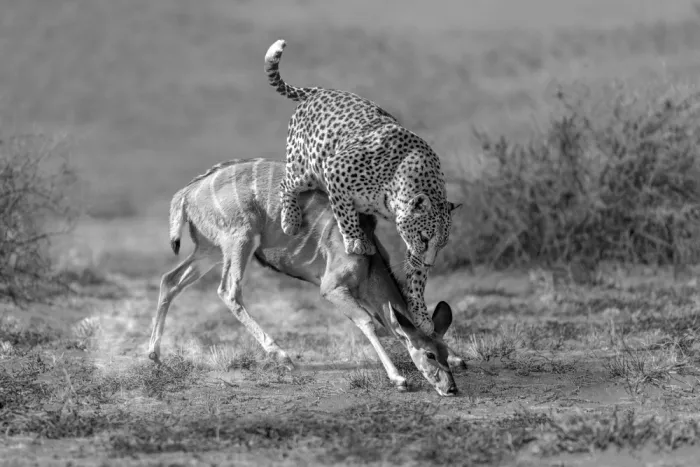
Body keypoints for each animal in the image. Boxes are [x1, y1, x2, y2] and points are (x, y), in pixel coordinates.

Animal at [264, 39, 461, 334]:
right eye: (425, 238)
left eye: (442, 243)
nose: (431, 262)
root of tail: (320, 91)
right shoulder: (335, 169)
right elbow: (344, 212)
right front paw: (355, 241)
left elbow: (416, 277)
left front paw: (421, 313)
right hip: (305, 167)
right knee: (287, 183)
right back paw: (290, 219)